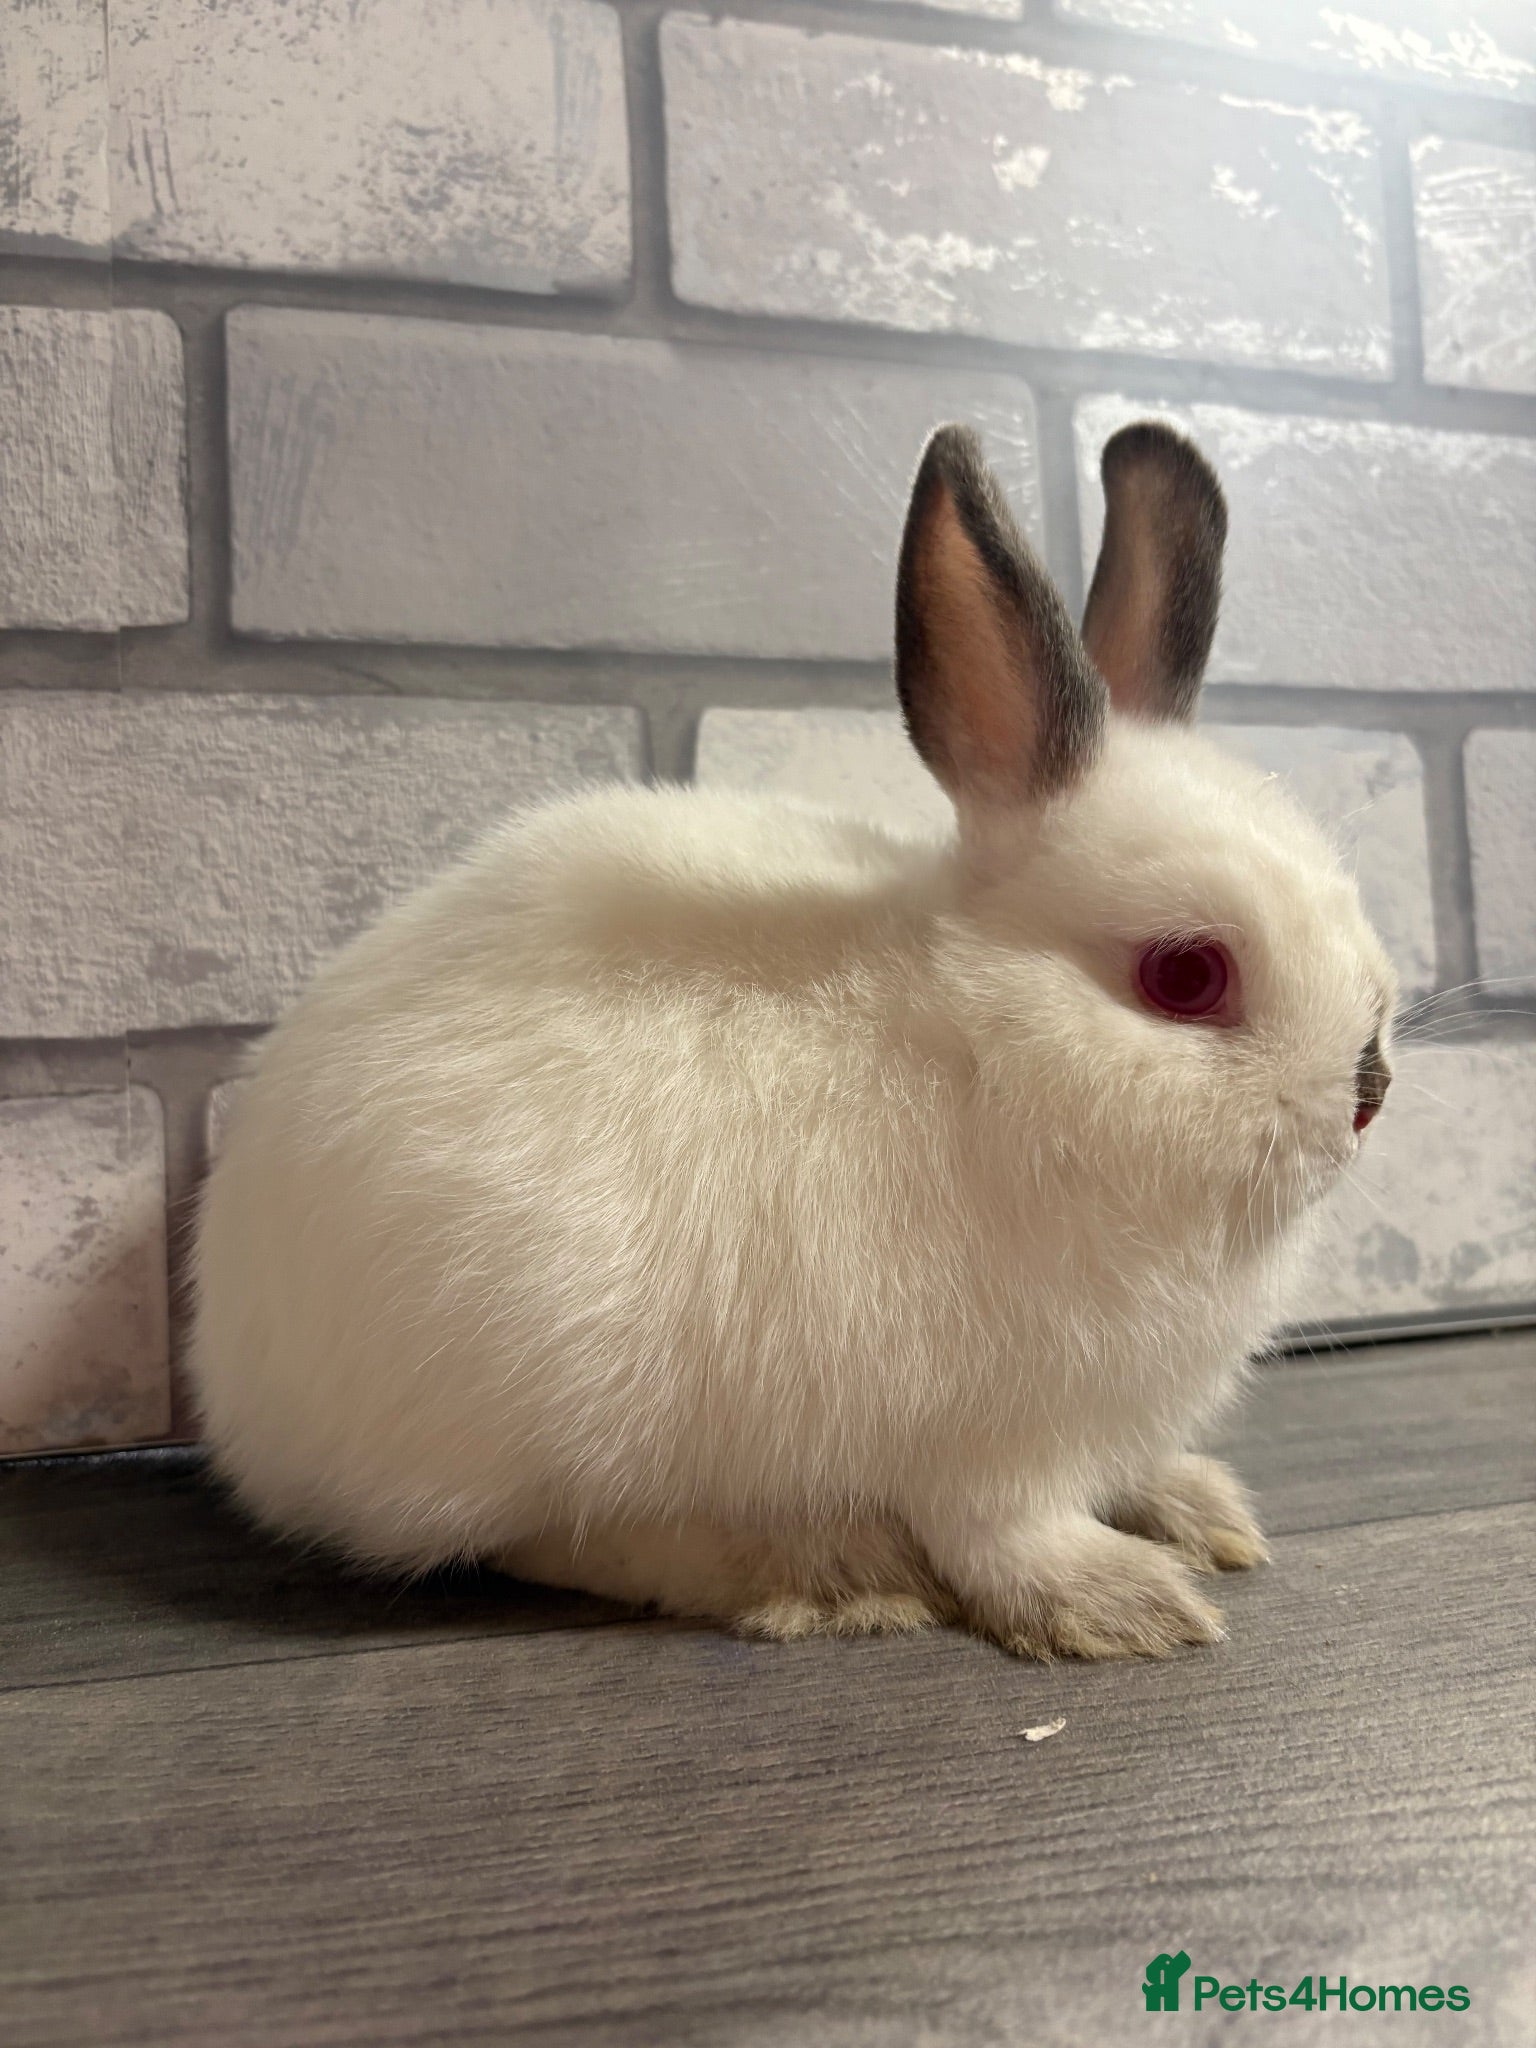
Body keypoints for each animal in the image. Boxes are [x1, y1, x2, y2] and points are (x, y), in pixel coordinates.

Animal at [190, 420, 1396, 1660]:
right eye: (1187, 975)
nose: (1369, 1090)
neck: (986, 1051)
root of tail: (232, 1370)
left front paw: (1196, 1506)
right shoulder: (986, 1443)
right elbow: (1009, 1537)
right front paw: (1122, 1602)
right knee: (556, 1538)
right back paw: (819, 1571)